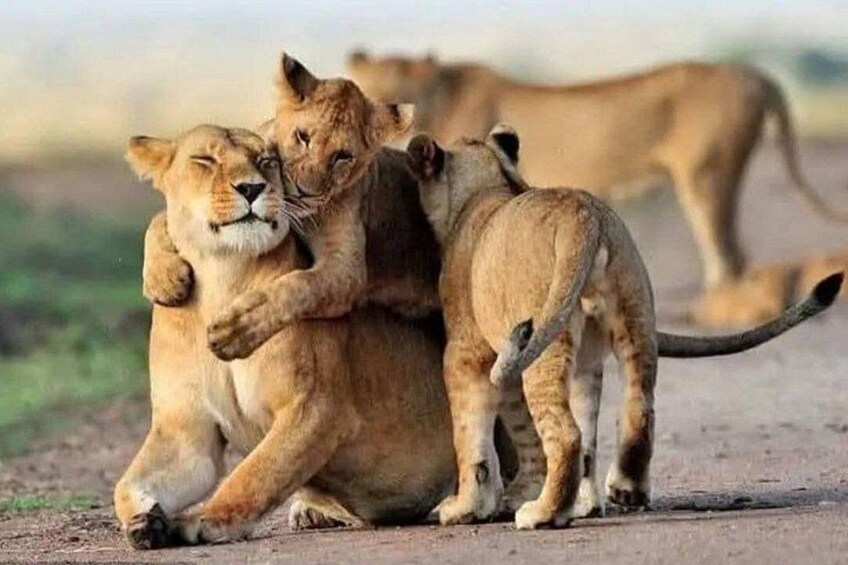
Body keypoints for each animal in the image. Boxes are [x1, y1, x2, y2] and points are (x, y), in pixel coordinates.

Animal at [114, 125, 458, 549]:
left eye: (266, 161)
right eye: (205, 160)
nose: (252, 187)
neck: (222, 276)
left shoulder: (314, 407)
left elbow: (254, 475)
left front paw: (200, 520)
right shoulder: (187, 433)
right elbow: (125, 485)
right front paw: (144, 522)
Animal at [143, 53, 441, 362]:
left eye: (343, 156)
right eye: (303, 137)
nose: (305, 191)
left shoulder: (347, 269)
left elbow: (299, 287)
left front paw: (234, 331)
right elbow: (160, 219)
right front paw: (164, 279)